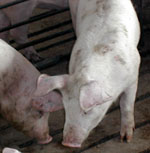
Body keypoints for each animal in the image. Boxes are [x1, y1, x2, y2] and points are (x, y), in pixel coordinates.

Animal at [33, 0, 141, 148]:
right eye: (66, 108)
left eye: (87, 111)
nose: (67, 143)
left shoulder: (133, 75)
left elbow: (127, 105)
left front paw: (126, 139)